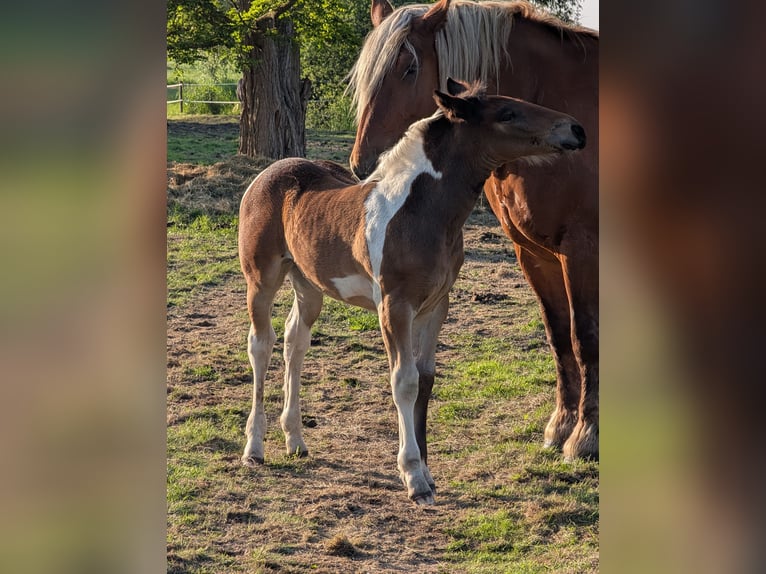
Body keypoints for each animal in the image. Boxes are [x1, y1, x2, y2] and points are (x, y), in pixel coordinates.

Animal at [238, 79, 585, 504]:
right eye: (507, 114)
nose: (575, 130)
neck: (420, 211)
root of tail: (268, 173)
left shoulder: (435, 305)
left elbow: (426, 379)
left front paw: (428, 472)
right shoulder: (395, 305)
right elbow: (403, 381)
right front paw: (413, 478)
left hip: (309, 284)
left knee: (294, 341)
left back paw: (296, 441)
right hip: (261, 278)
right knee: (261, 344)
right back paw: (254, 448)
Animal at [347, 0, 599, 460]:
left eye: (409, 68)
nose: (363, 164)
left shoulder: (581, 250)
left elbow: (584, 337)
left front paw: (586, 434)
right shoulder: (533, 253)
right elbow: (558, 335)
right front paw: (560, 426)